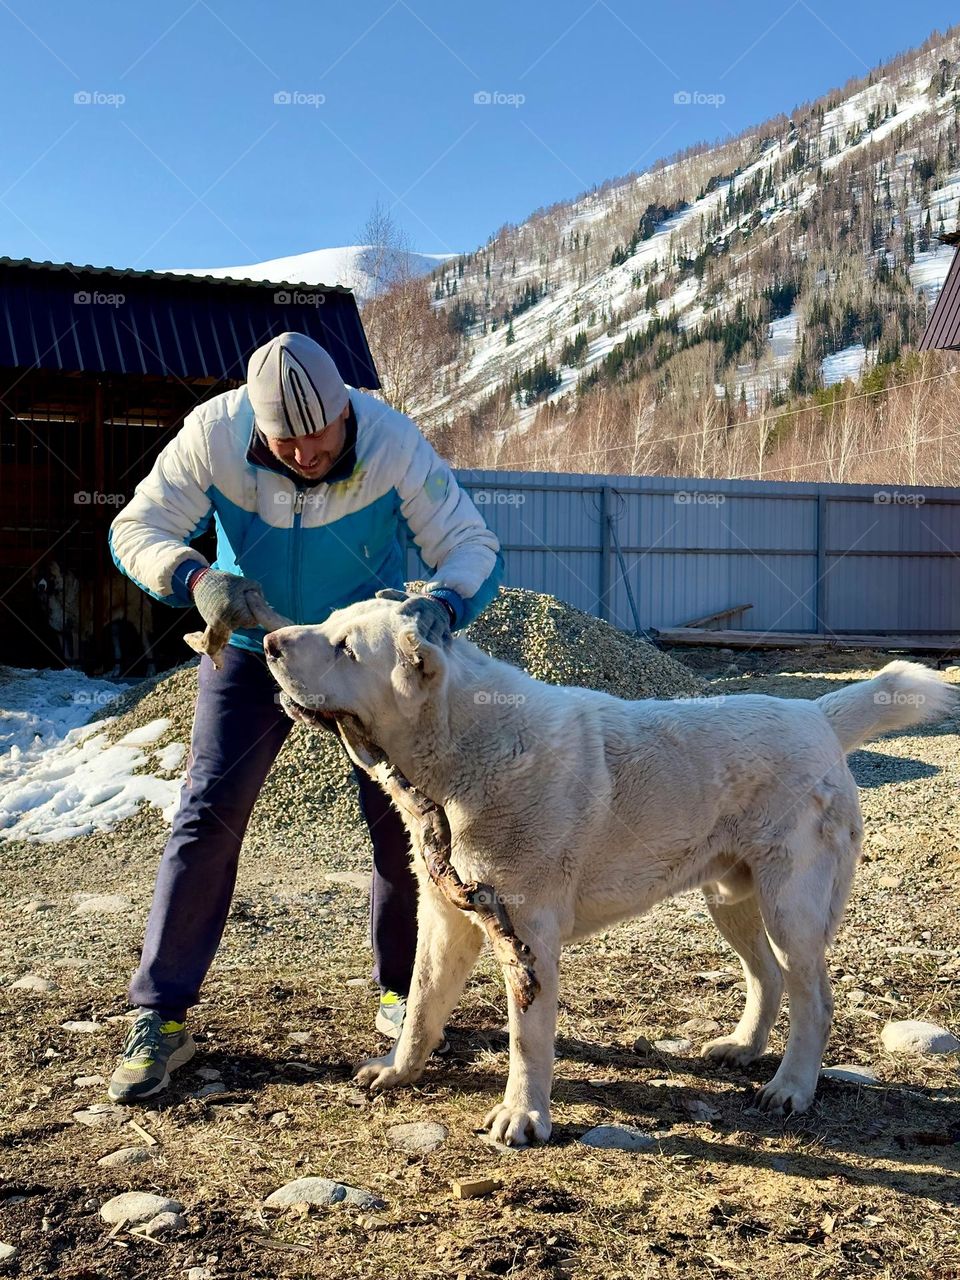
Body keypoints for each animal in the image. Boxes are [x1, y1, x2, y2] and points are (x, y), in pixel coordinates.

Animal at [261, 593, 957, 1146]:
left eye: (346, 648)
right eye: (328, 622)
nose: (268, 643)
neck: (463, 746)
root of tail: (816, 714)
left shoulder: (528, 936)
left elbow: (527, 1039)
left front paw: (523, 1117)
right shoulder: (443, 919)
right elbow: (422, 1007)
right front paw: (400, 1072)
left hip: (791, 908)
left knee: (813, 997)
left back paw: (791, 1087)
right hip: (730, 899)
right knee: (767, 978)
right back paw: (743, 1048)